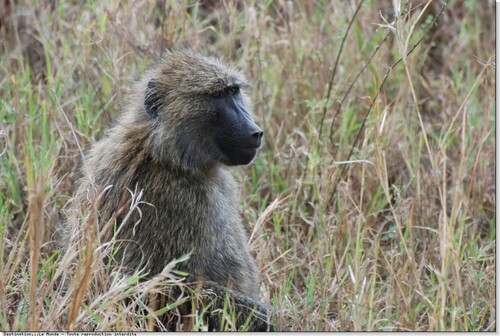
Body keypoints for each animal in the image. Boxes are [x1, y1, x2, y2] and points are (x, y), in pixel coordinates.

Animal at [69, 49, 274, 330]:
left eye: (234, 92)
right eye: (216, 96)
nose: (255, 132)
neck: (165, 155)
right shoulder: (174, 200)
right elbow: (155, 288)